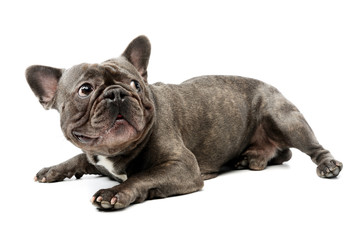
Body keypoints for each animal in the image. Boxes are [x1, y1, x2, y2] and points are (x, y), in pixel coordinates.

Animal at [26, 34, 344, 209]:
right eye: (85, 89)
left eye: (135, 84)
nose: (117, 93)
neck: (114, 152)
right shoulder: (93, 156)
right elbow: (78, 159)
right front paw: (53, 170)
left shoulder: (182, 166)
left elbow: (143, 176)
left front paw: (115, 193)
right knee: (283, 153)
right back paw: (251, 157)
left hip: (283, 118)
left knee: (311, 148)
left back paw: (328, 166)